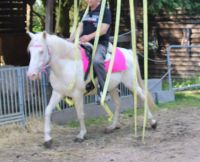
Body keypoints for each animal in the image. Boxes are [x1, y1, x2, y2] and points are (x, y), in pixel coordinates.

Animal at [27, 31, 158, 148]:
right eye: (30, 52)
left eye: (41, 51)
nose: (31, 75)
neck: (68, 64)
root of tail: (128, 52)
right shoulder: (58, 93)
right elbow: (47, 111)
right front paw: (47, 139)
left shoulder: (77, 94)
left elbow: (80, 114)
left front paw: (81, 135)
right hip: (112, 87)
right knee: (118, 103)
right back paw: (112, 127)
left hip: (131, 83)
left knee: (142, 96)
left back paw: (153, 122)